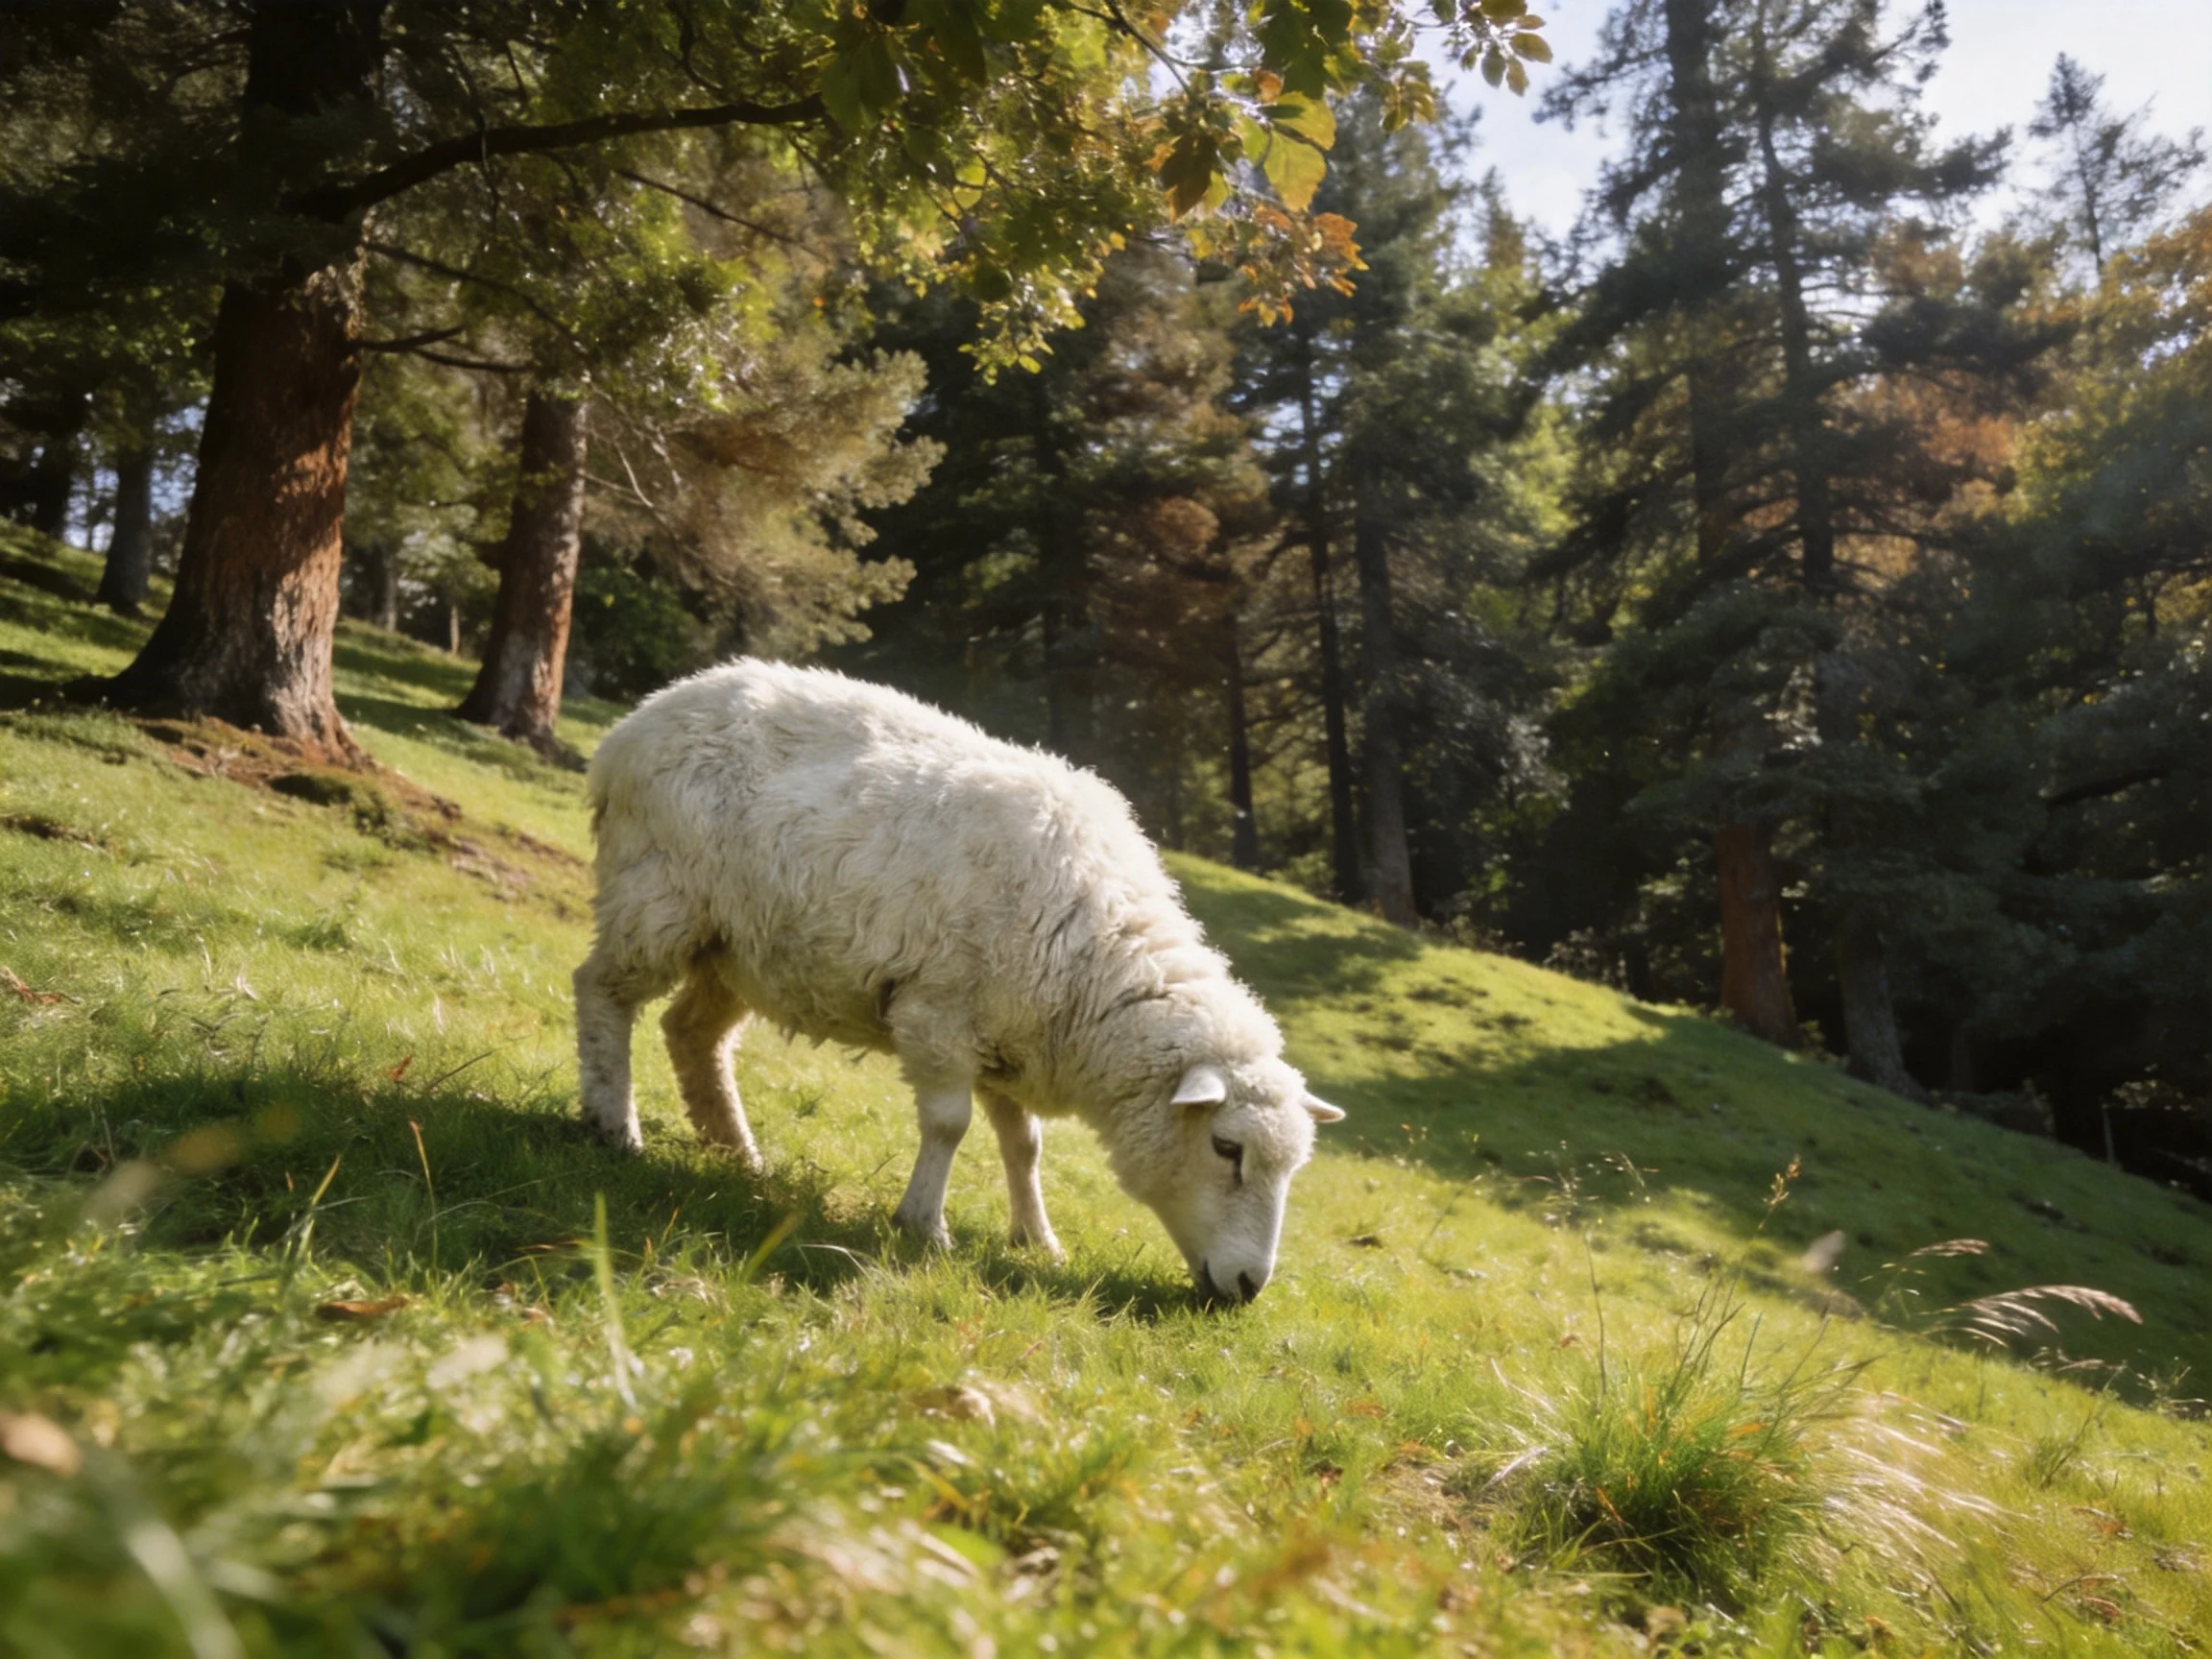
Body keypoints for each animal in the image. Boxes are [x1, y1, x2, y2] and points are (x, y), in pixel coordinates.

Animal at [573, 659, 1342, 1304]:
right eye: (1226, 1148)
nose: (1248, 1287)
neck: (1096, 963)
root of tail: (647, 714)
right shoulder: (939, 1015)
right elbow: (950, 1125)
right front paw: (924, 1225)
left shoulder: (1011, 1038)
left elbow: (1024, 1146)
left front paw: (1038, 1239)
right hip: (658, 896)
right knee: (601, 991)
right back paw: (615, 1125)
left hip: (738, 946)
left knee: (692, 1034)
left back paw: (736, 1153)